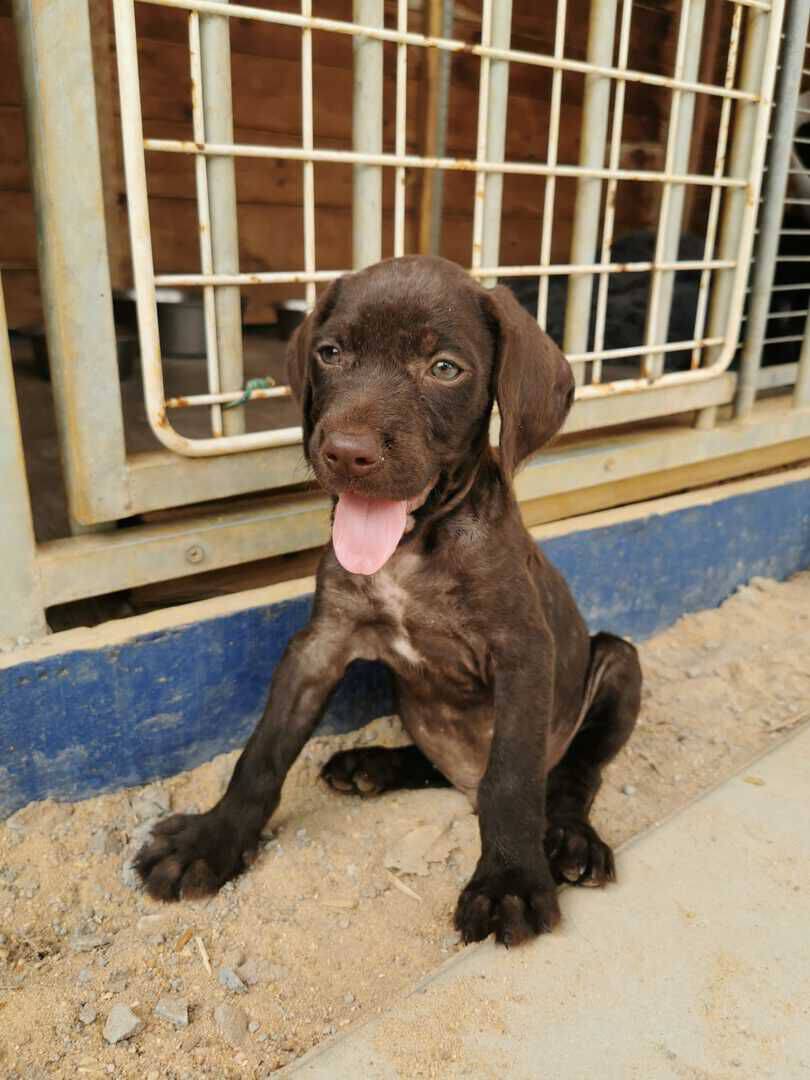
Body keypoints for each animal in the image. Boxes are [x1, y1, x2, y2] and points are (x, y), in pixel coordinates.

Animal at [136, 255, 642, 947]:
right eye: (330, 353)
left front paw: (509, 881)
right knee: (444, 765)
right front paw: (211, 841)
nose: (347, 452)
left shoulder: (523, 653)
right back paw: (370, 765)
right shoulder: (319, 645)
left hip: (617, 660)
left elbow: (512, 777)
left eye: (445, 369)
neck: (411, 547)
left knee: (567, 775)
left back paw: (569, 839)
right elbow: (262, 752)